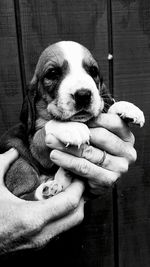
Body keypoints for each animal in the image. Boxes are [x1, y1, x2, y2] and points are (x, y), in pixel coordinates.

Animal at [0, 41, 145, 201]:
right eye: (52, 73)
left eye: (93, 71)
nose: (83, 95)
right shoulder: (37, 148)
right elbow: (45, 129)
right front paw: (71, 128)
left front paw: (125, 107)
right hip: (22, 164)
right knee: (23, 194)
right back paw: (47, 189)